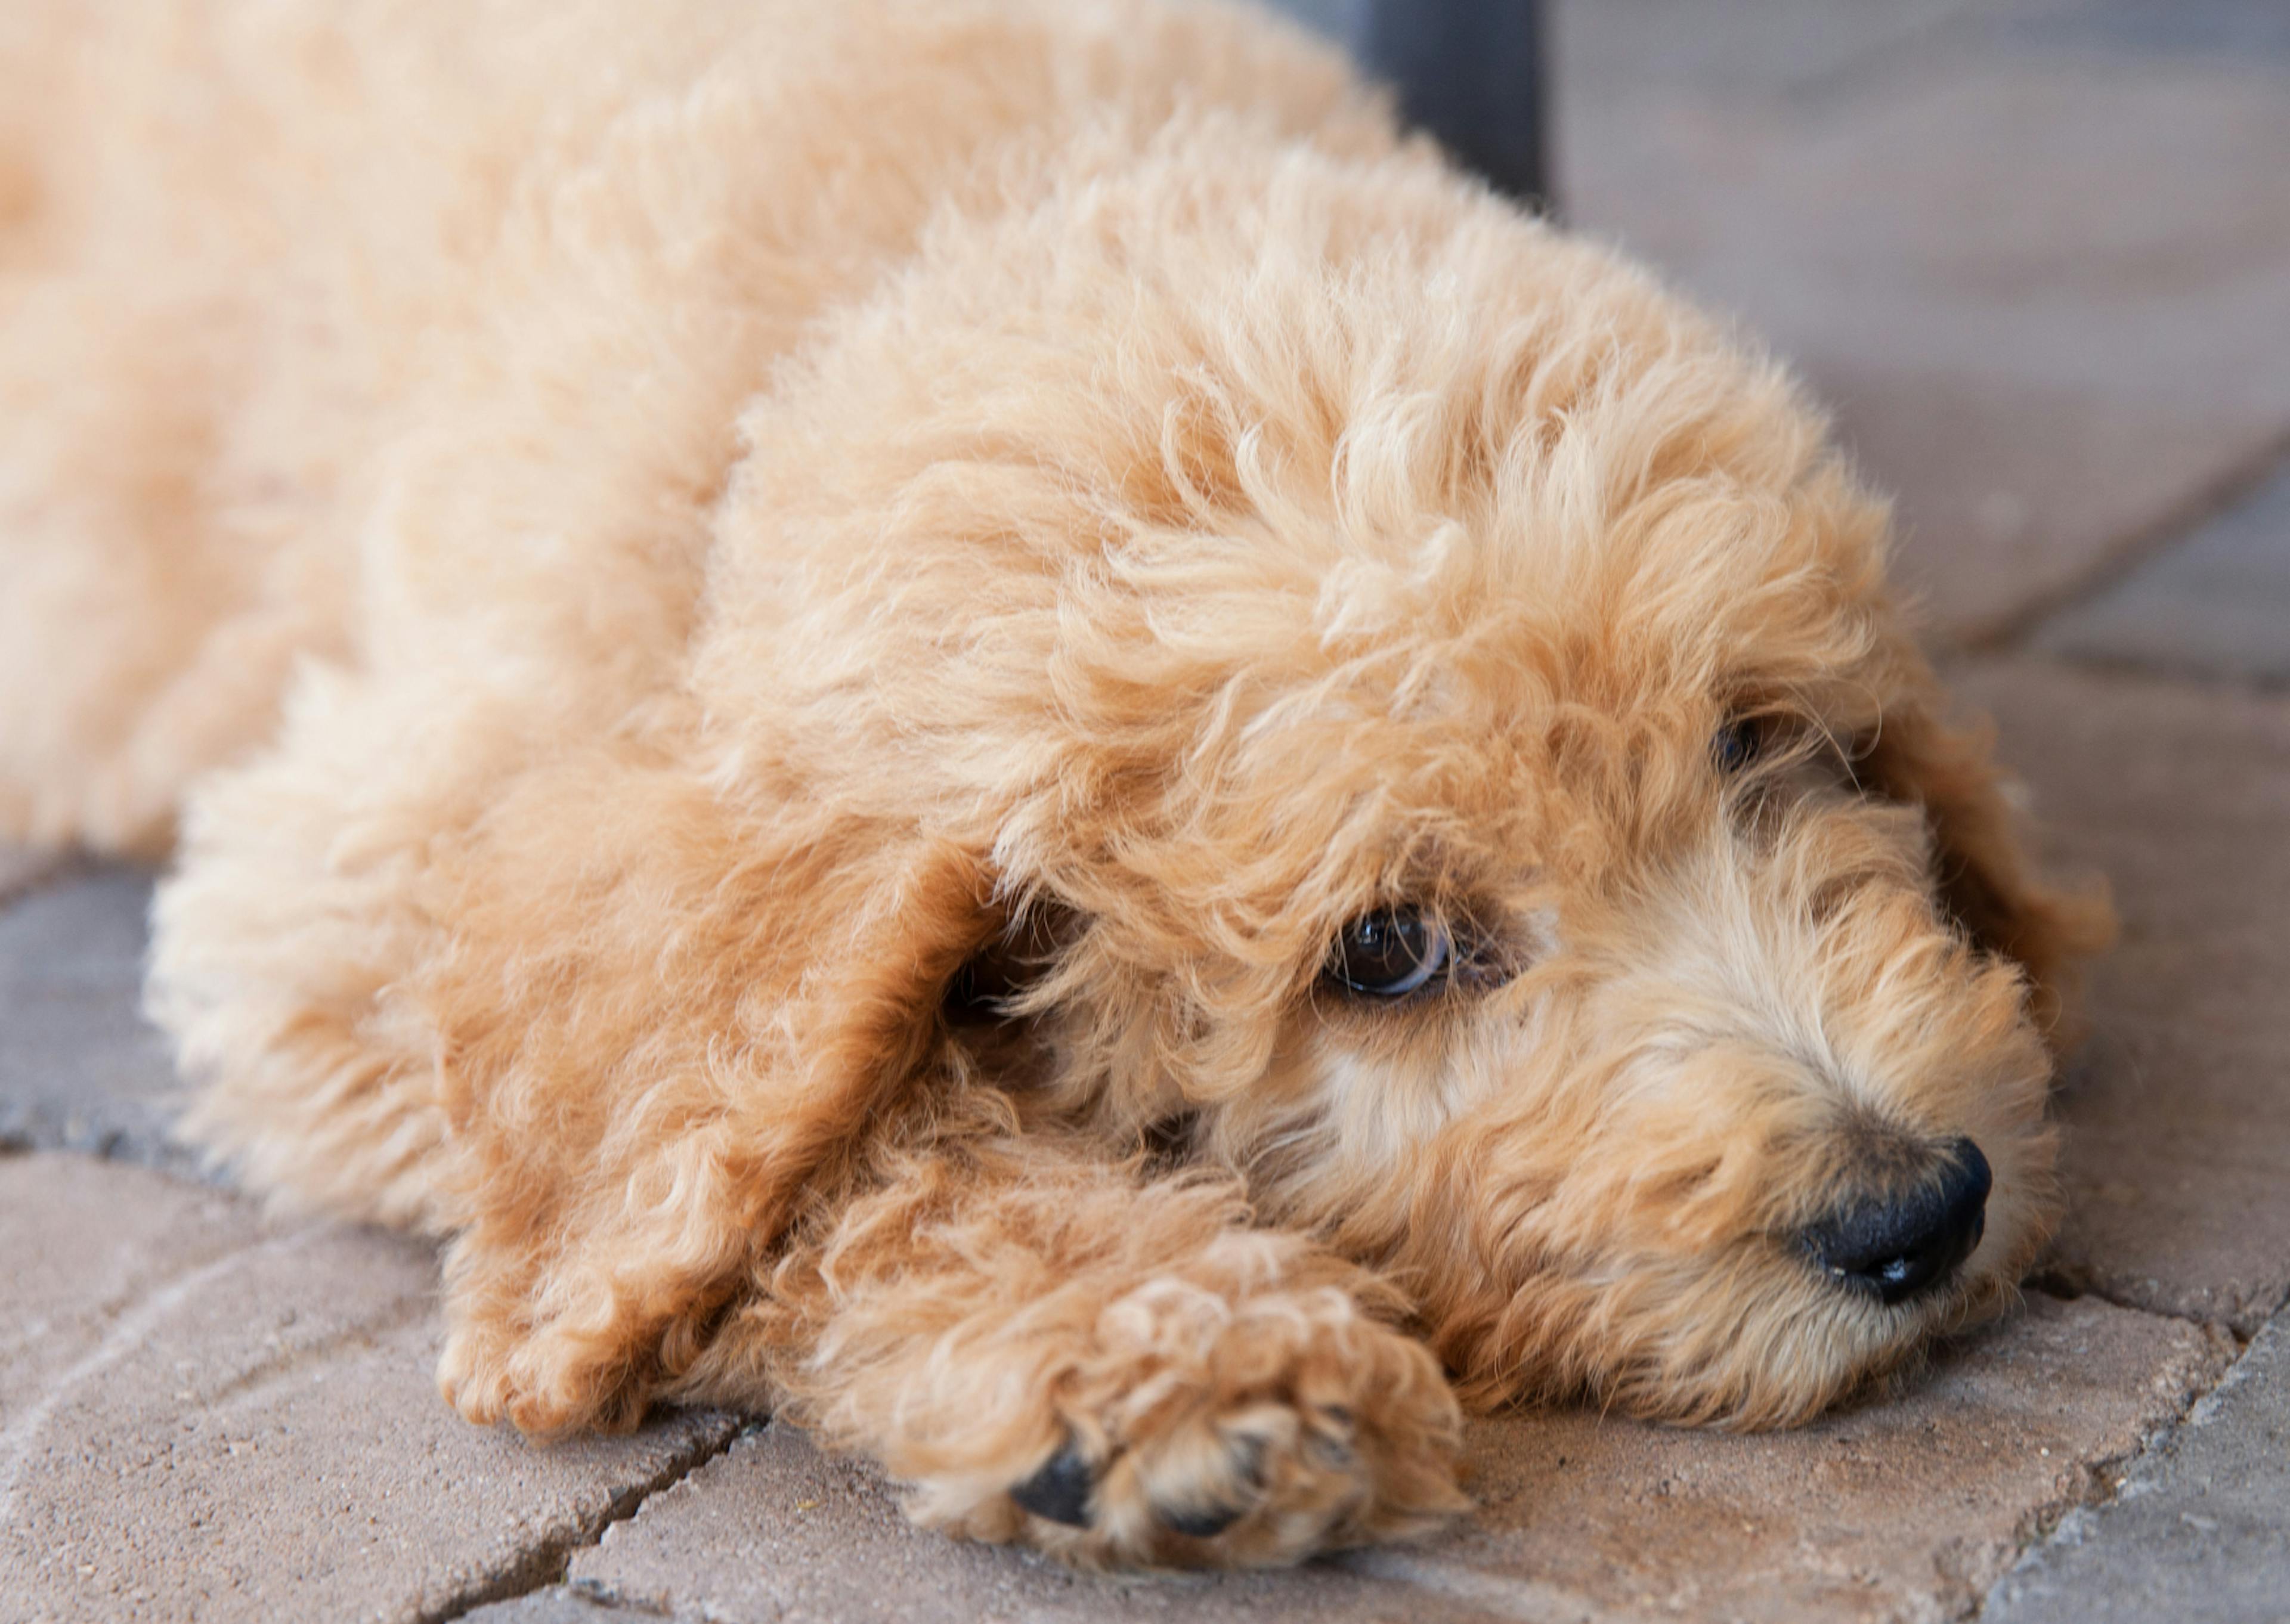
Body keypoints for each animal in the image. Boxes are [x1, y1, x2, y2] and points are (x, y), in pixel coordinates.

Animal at [4, 0, 2106, 1566]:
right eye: (1389, 950)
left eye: (1760, 743)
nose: (1912, 1208)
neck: (965, 214)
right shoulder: (350, 885)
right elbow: (827, 1142)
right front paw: (1173, 1357)